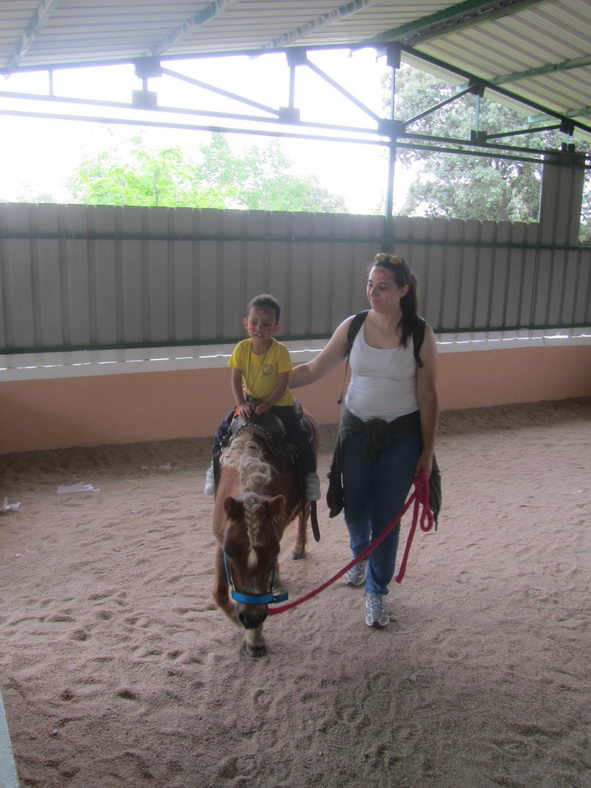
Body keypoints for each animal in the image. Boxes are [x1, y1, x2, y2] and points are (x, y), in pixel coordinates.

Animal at [213, 410, 320, 656]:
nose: (251, 618)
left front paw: (255, 639)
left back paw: (298, 548)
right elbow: (220, 593)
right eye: (231, 552)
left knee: (304, 515)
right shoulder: (221, 541)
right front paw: (239, 620)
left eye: (273, 552)